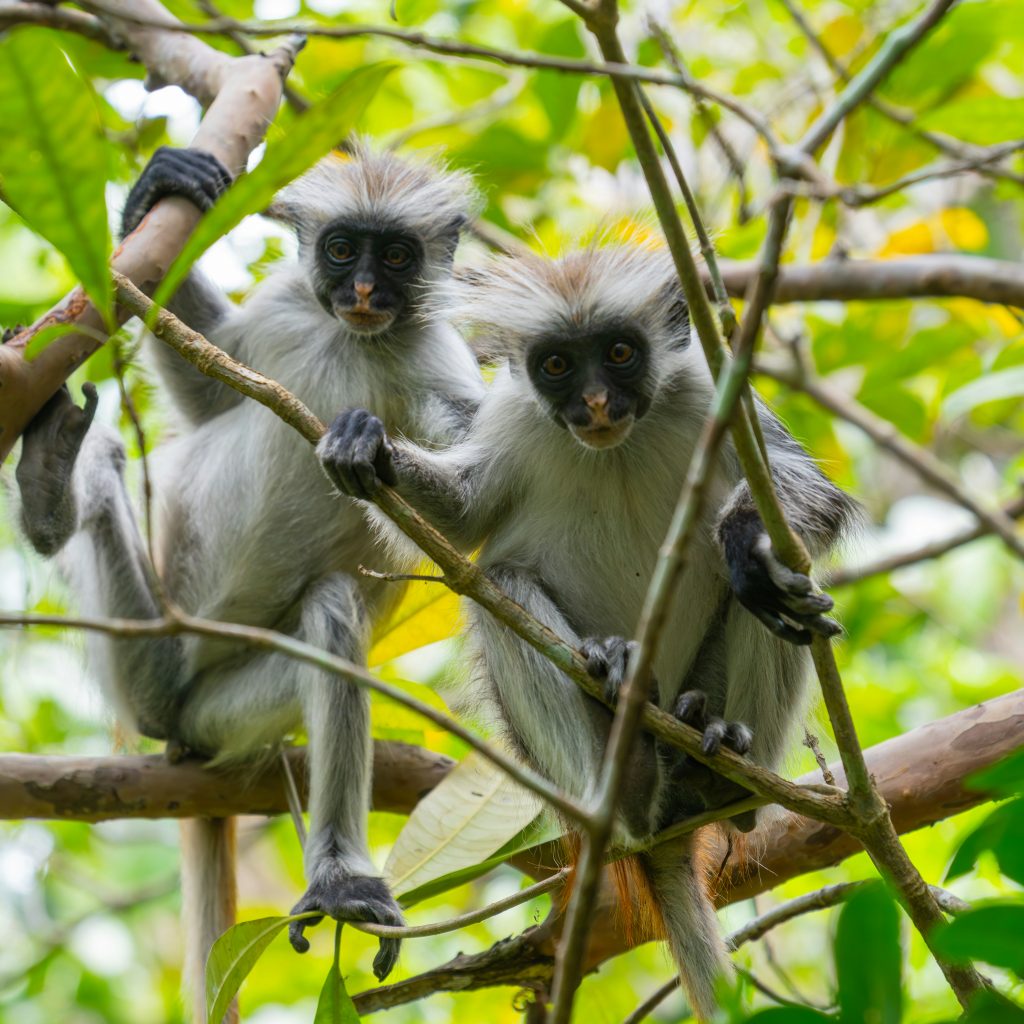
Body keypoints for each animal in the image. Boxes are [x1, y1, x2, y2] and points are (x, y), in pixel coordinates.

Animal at [13, 139, 485, 1008]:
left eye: (398, 257)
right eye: (343, 250)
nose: (362, 292)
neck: (352, 339)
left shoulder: (440, 365)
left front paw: (372, 450)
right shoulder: (286, 309)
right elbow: (208, 395)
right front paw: (156, 189)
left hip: (218, 712)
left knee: (329, 615)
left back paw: (339, 881)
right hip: (144, 641)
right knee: (104, 487)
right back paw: (51, 490)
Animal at [316, 244, 858, 1020]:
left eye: (621, 353)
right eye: (556, 366)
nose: (597, 404)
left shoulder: (712, 394)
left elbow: (802, 501)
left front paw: (745, 542)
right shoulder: (515, 416)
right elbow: (463, 519)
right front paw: (370, 448)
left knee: (776, 606)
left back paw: (721, 766)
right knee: (502, 585)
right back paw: (625, 776)